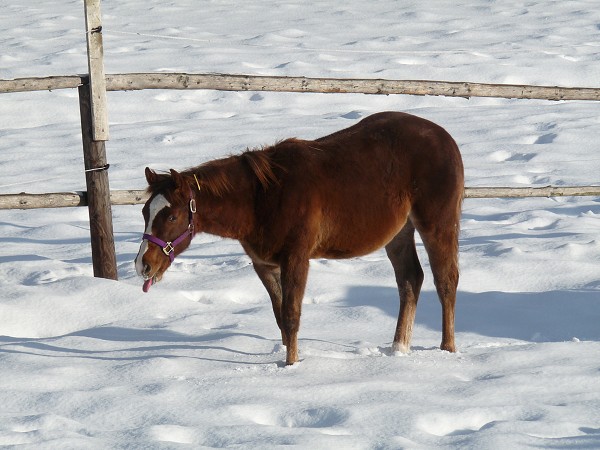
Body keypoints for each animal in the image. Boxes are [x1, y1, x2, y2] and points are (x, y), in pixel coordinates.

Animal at [135, 111, 464, 366]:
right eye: (144, 211)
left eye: (171, 217)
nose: (143, 265)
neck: (261, 197)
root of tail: (446, 138)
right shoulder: (264, 264)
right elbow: (280, 316)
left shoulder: (296, 257)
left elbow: (292, 314)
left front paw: (291, 366)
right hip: (398, 233)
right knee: (410, 280)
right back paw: (398, 349)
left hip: (437, 225)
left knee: (445, 281)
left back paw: (447, 349)